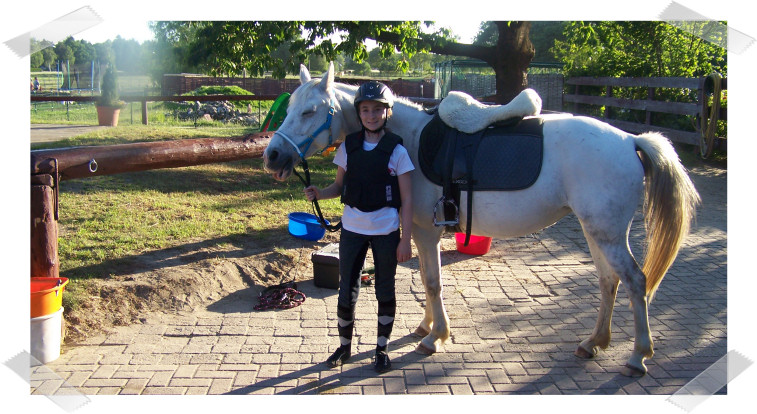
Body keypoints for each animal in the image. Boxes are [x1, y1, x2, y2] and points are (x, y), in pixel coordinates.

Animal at [262, 63, 700, 377]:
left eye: (310, 111)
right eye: (291, 108)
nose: (273, 156)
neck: (407, 138)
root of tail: (631, 140)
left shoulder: (426, 231)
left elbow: (433, 282)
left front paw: (435, 338)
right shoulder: (422, 233)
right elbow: (427, 279)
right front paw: (426, 328)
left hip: (607, 234)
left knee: (636, 282)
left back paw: (638, 356)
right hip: (597, 232)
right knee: (609, 281)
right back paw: (594, 342)